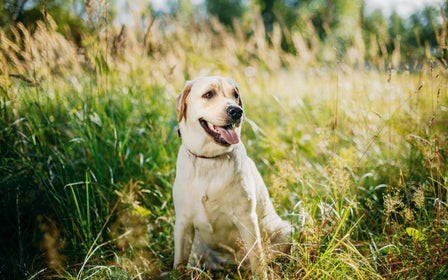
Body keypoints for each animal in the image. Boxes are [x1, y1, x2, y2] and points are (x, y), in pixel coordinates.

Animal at [172, 75, 290, 276]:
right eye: (208, 94)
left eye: (235, 95)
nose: (236, 111)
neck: (209, 160)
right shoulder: (183, 223)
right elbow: (179, 263)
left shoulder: (247, 220)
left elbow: (257, 261)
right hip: (198, 247)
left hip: (284, 230)